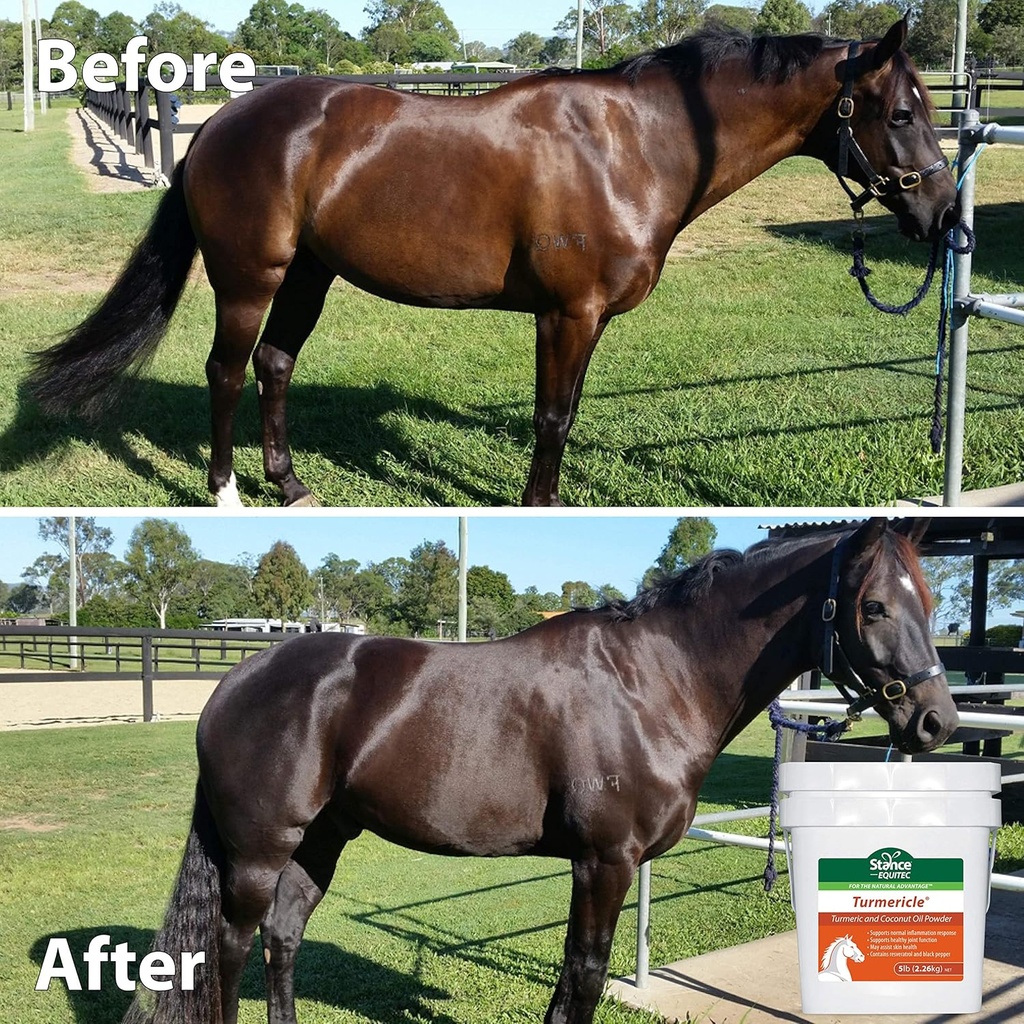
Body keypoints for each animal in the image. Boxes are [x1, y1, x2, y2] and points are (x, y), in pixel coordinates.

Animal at [30, 20, 958, 507]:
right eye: (902, 112)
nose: (944, 214)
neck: (634, 145)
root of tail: (221, 123)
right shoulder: (567, 314)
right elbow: (552, 421)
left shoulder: (584, 321)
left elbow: (563, 416)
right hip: (251, 277)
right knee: (226, 369)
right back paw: (225, 493)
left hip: (309, 274)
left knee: (275, 363)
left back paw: (289, 486)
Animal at [120, 517, 957, 1024]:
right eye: (874, 607)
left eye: (931, 598)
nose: (936, 722)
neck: (654, 681)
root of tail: (238, 677)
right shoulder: (604, 861)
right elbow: (582, 976)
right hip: (259, 853)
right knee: (230, 948)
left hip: (320, 840)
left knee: (283, 938)